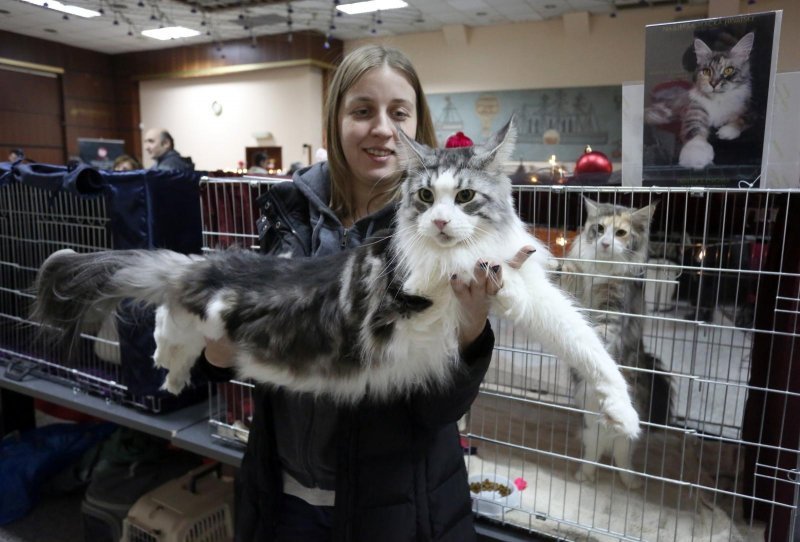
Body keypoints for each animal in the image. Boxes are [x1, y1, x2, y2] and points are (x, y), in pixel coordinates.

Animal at [560, 198, 672, 490]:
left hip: (626, 437)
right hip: (590, 430)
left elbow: (600, 332)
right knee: (593, 456)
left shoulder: (613, 307)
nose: (605, 243)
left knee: (622, 460)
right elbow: (571, 277)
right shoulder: (578, 292)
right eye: (599, 229)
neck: (602, 269)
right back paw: (584, 476)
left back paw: (631, 482)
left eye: (620, 233)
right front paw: (565, 267)